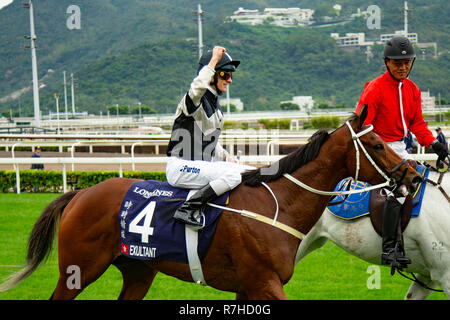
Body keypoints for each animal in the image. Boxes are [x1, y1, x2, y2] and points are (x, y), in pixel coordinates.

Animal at [0, 105, 422, 300]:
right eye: (376, 144)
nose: (414, 175)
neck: (279, 205)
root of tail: (81, 193)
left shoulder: (248, 286)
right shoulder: (264, 280)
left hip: (138, 271)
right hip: (78, 269)